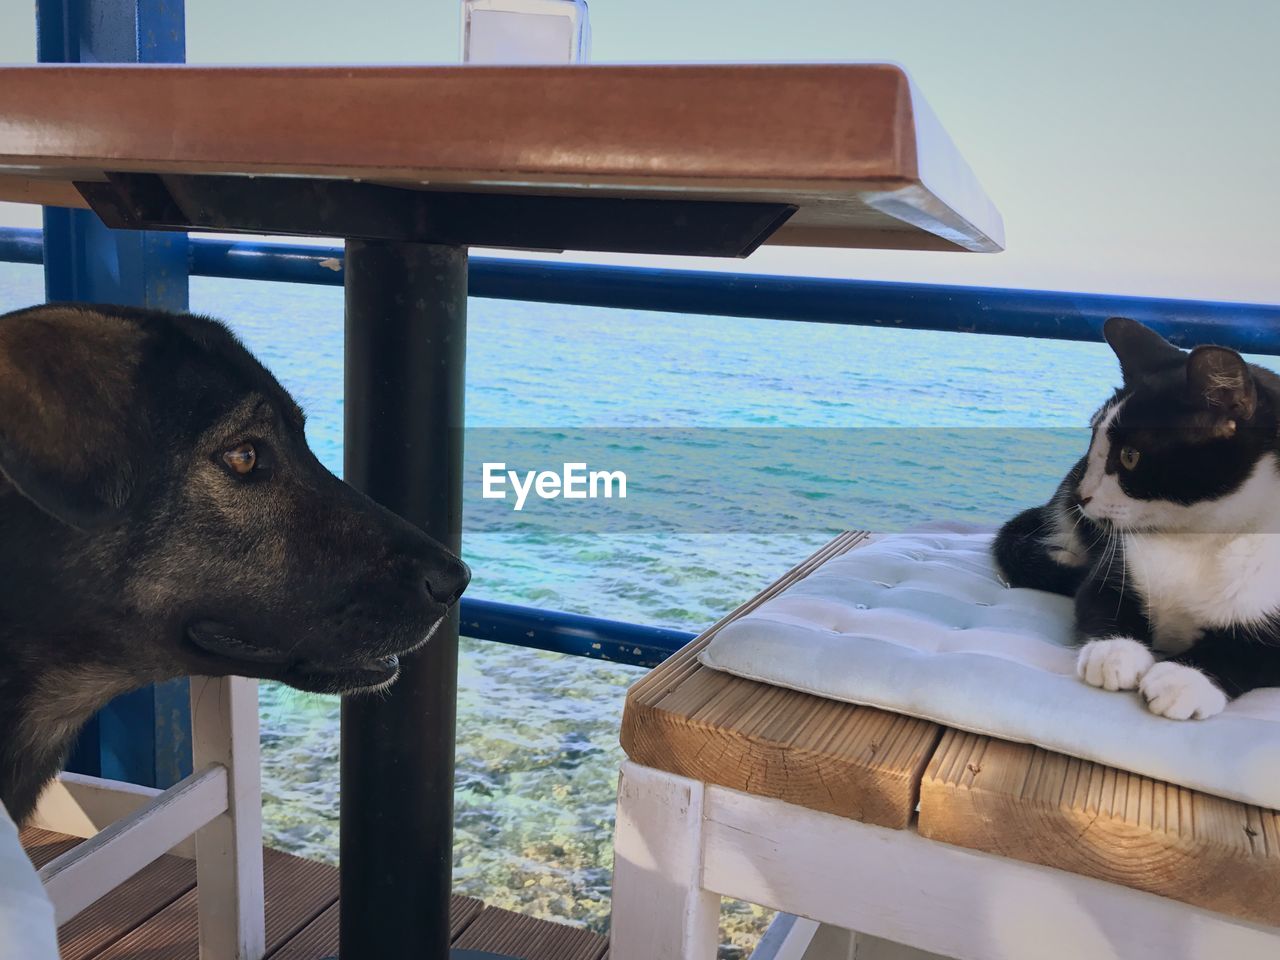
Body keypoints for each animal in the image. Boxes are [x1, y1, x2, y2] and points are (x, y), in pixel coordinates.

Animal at [998, 317, 1280, 721]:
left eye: (1130, 456)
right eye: (1093, 441)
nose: (1082, 494)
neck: (1196, 537)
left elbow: (1247, 651)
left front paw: (1184, 679)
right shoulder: (1116, 563)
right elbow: (1101, 598)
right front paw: (1114, 652)